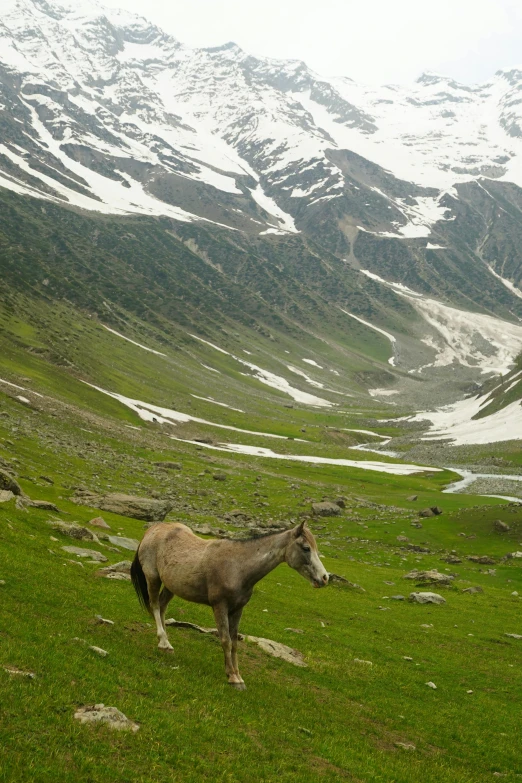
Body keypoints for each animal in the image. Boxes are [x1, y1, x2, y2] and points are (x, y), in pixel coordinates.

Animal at [129, 524, 324, 688]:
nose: (324, 578)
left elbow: (235, 643)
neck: (238, 567)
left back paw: (166, 644)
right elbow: (225, 640)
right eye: (306, 548)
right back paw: (163, 641)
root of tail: (153, 529)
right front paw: (232, 678)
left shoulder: (237, 610)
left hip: (171, 586)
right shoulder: (220, 607)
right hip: (153, 577)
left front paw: (237, 674)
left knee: (162, 607)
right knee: (155, 606)